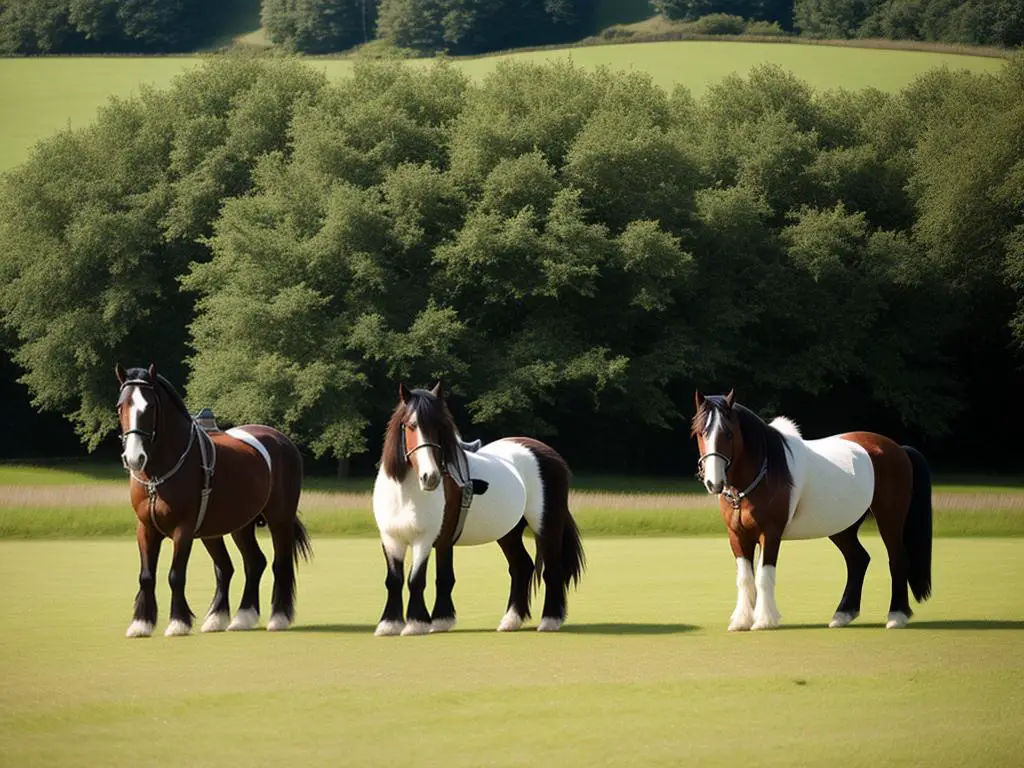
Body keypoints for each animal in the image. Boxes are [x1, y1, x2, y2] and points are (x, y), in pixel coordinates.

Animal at [114, 364, 309, 638]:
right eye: (120, 406)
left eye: (150, 406)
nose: (134, 458)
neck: (157, 474)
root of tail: (281, 440)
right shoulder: (145, 528)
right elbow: (146, 575)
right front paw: (141, 623)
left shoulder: (183, 530)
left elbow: (176, 575)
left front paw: (178, 623)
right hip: (235, 527)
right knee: (248, 564)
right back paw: (236, 618)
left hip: (279, 520)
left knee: (279, 564)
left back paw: (278, 618)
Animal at [374, 385, 585, 638]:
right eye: (411, 425)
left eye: (441, 427)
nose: (431, 477)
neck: (406, 493)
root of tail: (548, 453)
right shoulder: (392, 539)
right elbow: (396, 580)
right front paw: (391, 624)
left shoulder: (424, 539)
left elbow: (418, 579)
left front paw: (417, 624)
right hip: (509, 532)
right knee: (521, 567)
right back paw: (511, 621)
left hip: (546, 523)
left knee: (552, 568)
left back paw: (550, 621)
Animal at [692, 391, 933, 630]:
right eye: (700, 433)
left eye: (728, 433)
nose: (714, 482)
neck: (764, 472)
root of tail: (898, 449)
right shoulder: (737, 535)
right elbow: (745, 577)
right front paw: (742, 620)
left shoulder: (770, 533)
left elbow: (764, 576)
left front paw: (764, 620)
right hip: (841, 526)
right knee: (858, 559)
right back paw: (843, 614)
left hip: (889, 519)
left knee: (897, 559)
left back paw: (897, 615)